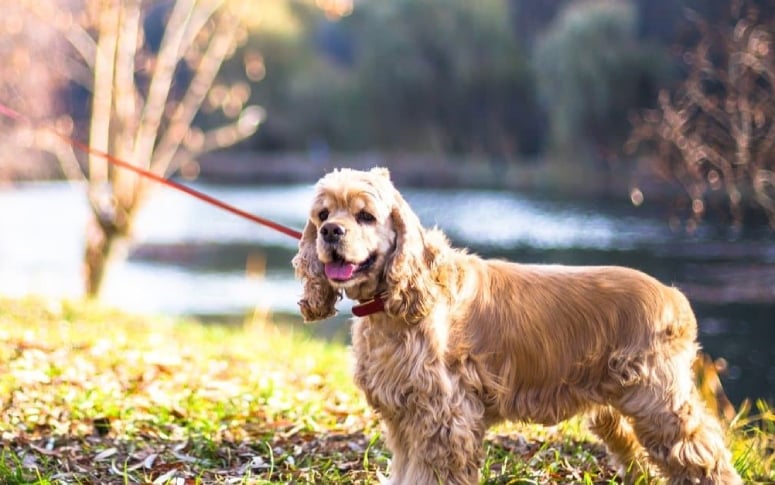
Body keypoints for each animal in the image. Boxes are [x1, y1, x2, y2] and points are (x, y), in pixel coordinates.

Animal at [294, 167, 744, 484]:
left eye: (365, 216)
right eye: (323, 214)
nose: (331, 231)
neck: (392, 304)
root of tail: (675, 298)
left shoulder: (444, 419)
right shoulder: (403, 417)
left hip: (660, 405)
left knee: (706, 457)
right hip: (615, 413)